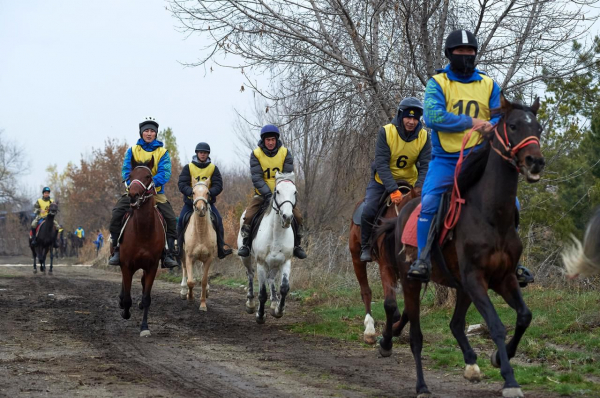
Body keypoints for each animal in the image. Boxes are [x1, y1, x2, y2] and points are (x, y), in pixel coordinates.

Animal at [117, 157, 165, 338]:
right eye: (130, 176)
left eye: (148, 176)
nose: (133, 195)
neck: (143, 231)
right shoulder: (126, 265)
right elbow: (127, 297)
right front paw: (125, 311)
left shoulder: (152, 266)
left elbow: (146, 298)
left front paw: (144, 327)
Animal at [180, 179, 218, 312]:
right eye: (193, 192)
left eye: (208, 193)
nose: (200, 209)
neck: (200, 232)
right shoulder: (189, 257)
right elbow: (191, 281)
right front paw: (190, 297)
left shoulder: (209, 258)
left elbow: (203, 280)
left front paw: (202, 305)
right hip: (183, 255)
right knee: (185, 270)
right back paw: (183, 291)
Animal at [238, 171, 296, 324]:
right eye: (277, 191)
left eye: (295, 192)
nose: (287, 217)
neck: (276, 233)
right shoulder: (261, 263)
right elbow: (262, 293)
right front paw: (260, 315)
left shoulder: (285, 261)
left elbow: (284, 288)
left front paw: (279, 311)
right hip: (246, 258)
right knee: (250, 274)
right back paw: (250, 304)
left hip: (275, 262)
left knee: (271, 278)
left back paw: (275, 302)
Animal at [346, 182, 418, 344]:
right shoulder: (386, 266)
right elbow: (389, 303)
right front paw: (386, 334)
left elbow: (408, 307)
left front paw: (396, 328)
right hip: (356, 258)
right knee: (366, 291)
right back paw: (369, 330)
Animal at [372, 96, 548, 398]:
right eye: (513, 126)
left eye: (537, 127)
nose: (535, 161)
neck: (491, 217)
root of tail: (403, 210)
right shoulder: (476, 278)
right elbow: (496, 326)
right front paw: (510, 380)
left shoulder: (503, 278)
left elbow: (525, 316)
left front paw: (498, 358)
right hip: (412, 281)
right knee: (416, 335)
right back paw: (421, 385)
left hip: (462, 287)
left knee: (455, 324)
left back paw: (471, 365)